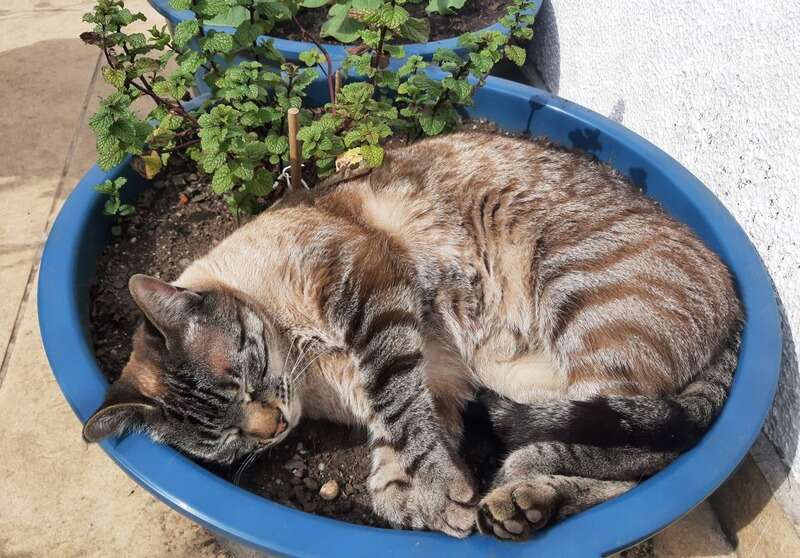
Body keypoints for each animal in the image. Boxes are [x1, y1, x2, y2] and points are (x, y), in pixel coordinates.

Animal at [83, 132, 744, 544]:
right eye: (222, 442)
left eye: (245, 378)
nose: (271, 428)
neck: (309, 374)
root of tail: (736, 296)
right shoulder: (438, 377)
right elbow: (393, 457)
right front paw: (422, 499)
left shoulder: (370, 297)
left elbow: (400, 409)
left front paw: (441, 491)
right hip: (535, 378)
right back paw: (524, 502)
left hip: (580, 306)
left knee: (651, 455)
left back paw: (522, 487)